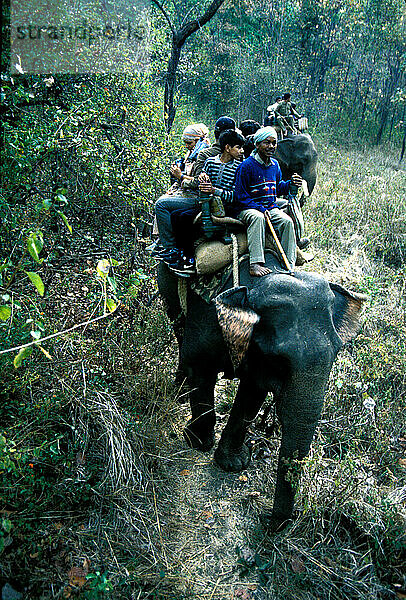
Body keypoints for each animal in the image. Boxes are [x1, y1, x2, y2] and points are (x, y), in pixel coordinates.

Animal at [157, 253, 366, 528]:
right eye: (280, 360)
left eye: (337, 353)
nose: (266, 519)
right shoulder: (209, 318)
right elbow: (200, 368)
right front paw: (198, 443)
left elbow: (252, 394)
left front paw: (232, 464)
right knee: (178, 327)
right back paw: (180, 392)